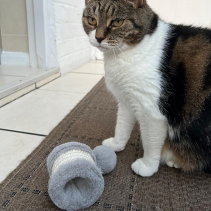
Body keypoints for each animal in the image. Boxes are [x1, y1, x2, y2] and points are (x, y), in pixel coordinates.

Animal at [82, 0, 211, 177]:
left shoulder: (150, 111)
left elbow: (150, 142)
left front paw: (147, 167)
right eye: (91, 20)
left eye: (117, 22)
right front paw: (117, 144)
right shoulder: (126, 100)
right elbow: (121, 126)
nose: (99, 37)